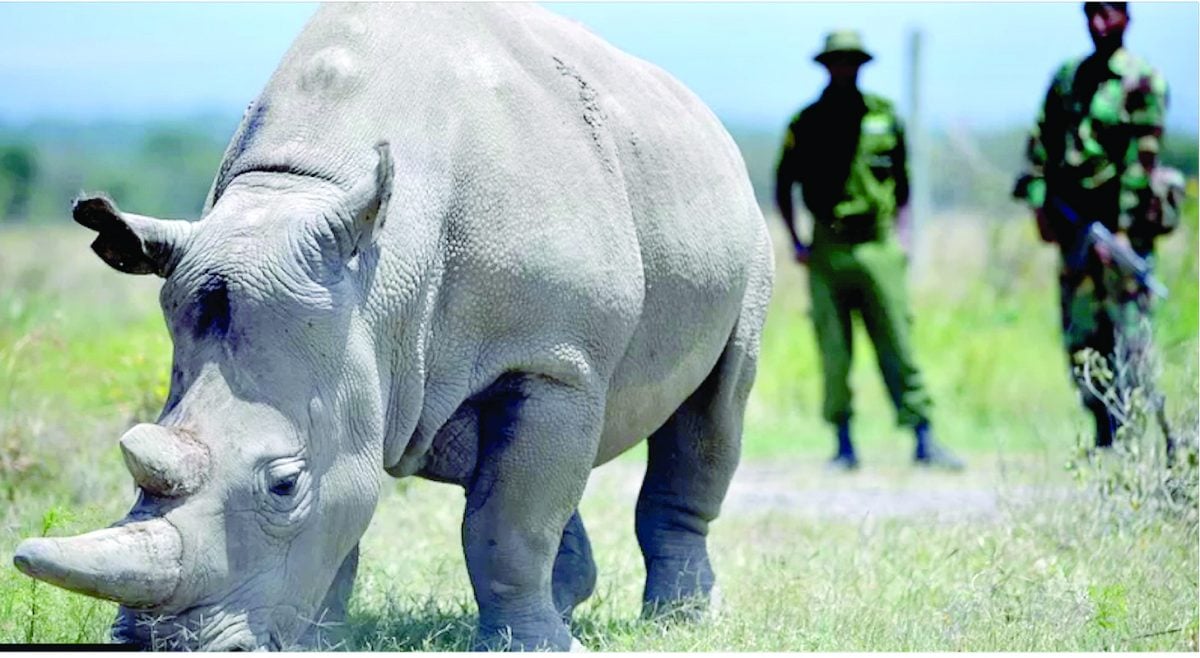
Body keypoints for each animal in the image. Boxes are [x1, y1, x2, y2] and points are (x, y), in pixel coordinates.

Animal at [13, 3, 773, 651]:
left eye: (284, 484)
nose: (158, 645)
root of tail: (707, 118)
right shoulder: (357, 340)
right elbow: (368, 506)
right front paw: (322, 644)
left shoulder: (553, 359)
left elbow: (510, 521)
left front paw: (536, 649)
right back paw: (571, 598)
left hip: (746, 234)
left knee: (715, 410)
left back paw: (680, 622)